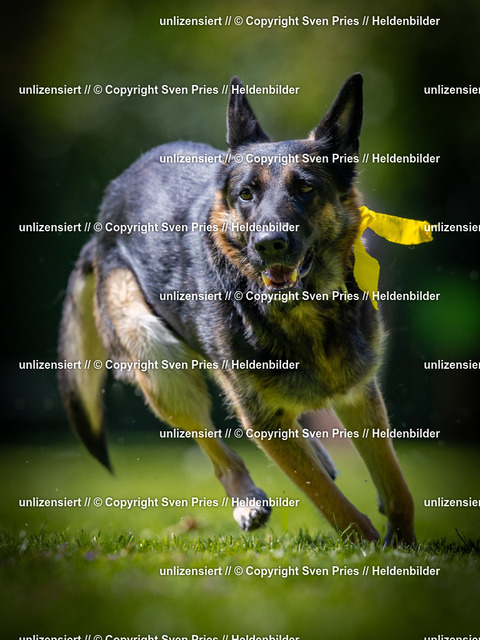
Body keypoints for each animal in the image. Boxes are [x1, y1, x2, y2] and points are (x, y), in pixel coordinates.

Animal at [58, 73, 415, 546]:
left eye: (306, 188)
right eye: (246, 194)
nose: (269, 244)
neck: (301, 310)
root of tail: (102, 222)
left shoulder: (358, 392)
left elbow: (396, 487)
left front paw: (404, 546)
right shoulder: (259, 416)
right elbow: (328, 500)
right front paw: (369, 548)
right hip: (158, 359)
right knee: (220, 451)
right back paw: (246, 498)